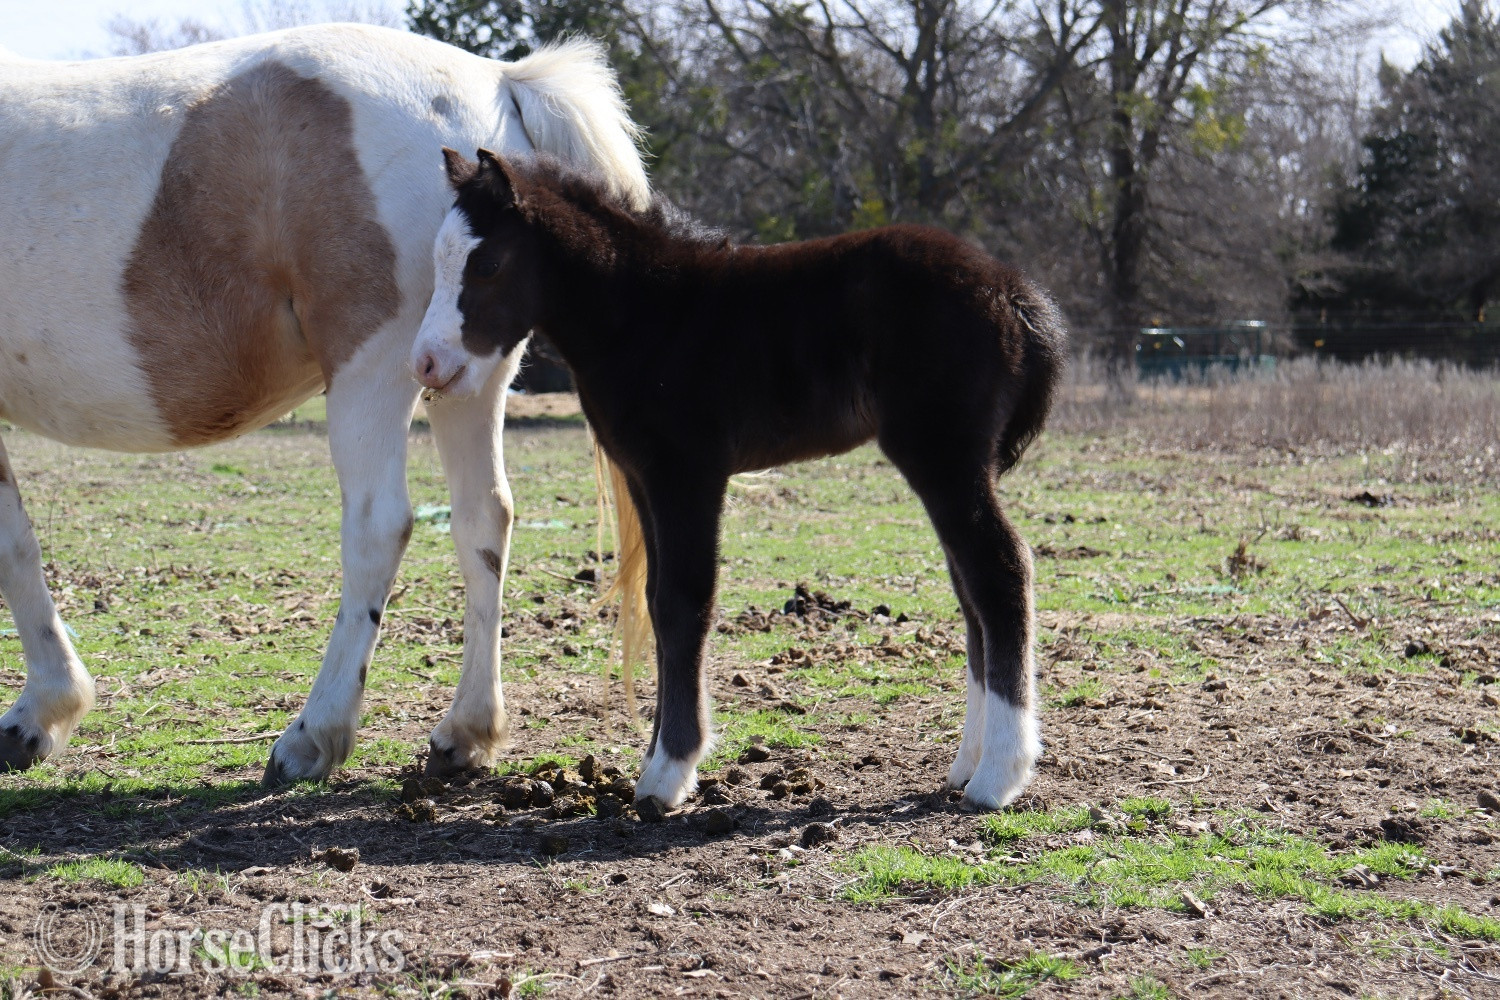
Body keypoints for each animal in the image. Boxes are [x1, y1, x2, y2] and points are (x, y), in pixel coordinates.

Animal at [0, 25, 650, 785]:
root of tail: (497, 80)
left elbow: (10, 543)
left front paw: (39, 713)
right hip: (467, 374)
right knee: (484, 519)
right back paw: (465, 732)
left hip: (375, 373)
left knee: (379, 525)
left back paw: (313, 734)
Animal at [411, 150, 1068, 811]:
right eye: (438, 259)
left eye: (487, 263)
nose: (426, 364)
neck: (646, 315)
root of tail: (1016, 295)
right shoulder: (645, 478)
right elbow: (658, 603)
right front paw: (656, 760)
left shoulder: (687, 474)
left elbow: (683, 602)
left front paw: (668, 774)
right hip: (954, 466)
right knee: (971, 590)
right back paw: (966, 765)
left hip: (943, 457)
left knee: (1000, 571)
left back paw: (999, 774)